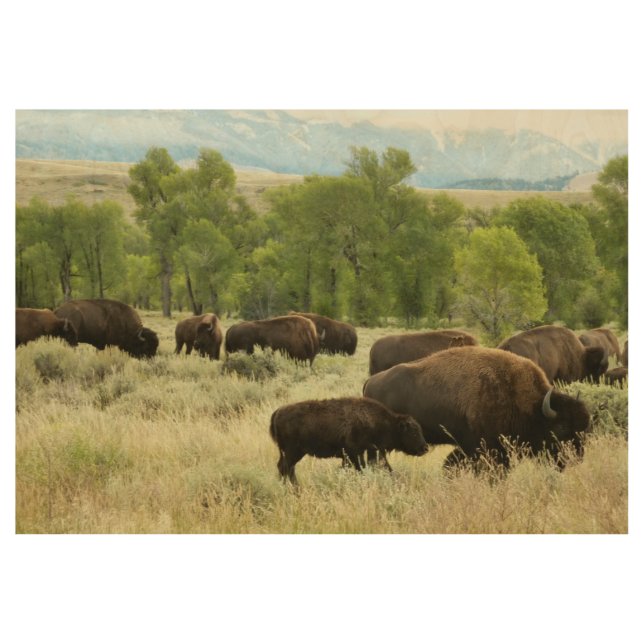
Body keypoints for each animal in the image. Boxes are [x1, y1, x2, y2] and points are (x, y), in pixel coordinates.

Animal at [269, 397, 429, 484]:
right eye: (413, 431)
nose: (425, 448)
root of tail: (278, 412)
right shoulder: (355, 454)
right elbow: (361, 469)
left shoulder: (359, 454)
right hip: (293, 452)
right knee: (286, 468)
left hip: (288, 453)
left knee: (285, 468)